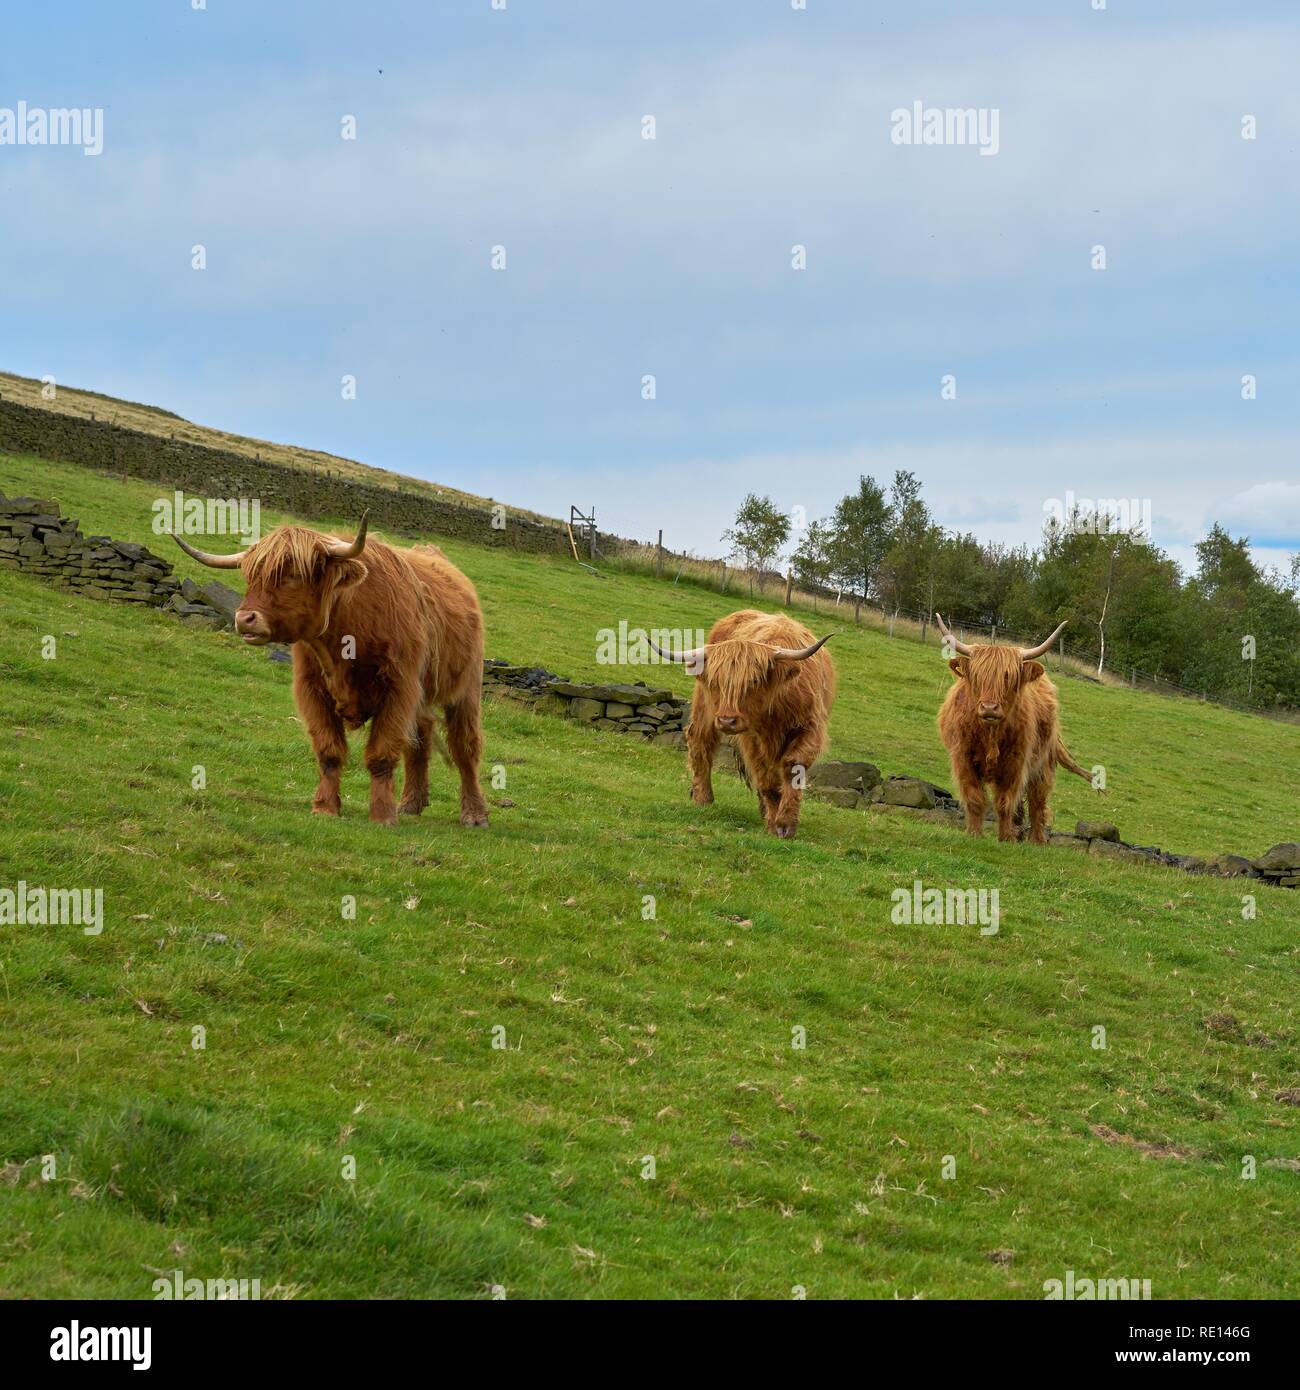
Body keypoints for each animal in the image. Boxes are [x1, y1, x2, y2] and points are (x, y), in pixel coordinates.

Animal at [173, 517, 489, 828]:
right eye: (251, 577)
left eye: (293, 575)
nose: (244, 619)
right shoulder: (311, 690)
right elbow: (329, 751)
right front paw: (325, 807)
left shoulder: (399, 689)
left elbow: (382, 754)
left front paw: (382, 815)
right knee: (421, 738)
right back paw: (411, 803)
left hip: (467, 688)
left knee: (465, 748)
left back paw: (474, 814)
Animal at [656, 608, 839, 834]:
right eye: (717, 682)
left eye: (754, 681)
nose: (727, 721)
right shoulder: (751, 738)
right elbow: (765, 777)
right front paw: (774, 823)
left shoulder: (810, 728)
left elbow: (792, 767)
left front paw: (785, 823)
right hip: (704, 708)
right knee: (700, 741)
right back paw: (703, 798)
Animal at [928, 614, 1095, 839]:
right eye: (978, 676)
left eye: (1008, 676)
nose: (989, 708)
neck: (990, 733)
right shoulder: (962, 757)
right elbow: (974, 798)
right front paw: (974, 834)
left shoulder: (1016, 762)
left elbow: (1005, 802)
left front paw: (1006, 837)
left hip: (1042, 766)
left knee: (1037, 803)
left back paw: (1037, 840)